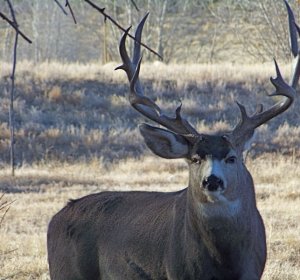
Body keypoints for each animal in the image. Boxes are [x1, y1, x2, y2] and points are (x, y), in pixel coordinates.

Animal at [47, 1, 300, 278]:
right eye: (195, 158)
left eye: (232, 157)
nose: (212, 181)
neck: (224, 265)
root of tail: (56, 218)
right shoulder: (176, 270)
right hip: (66, 271)